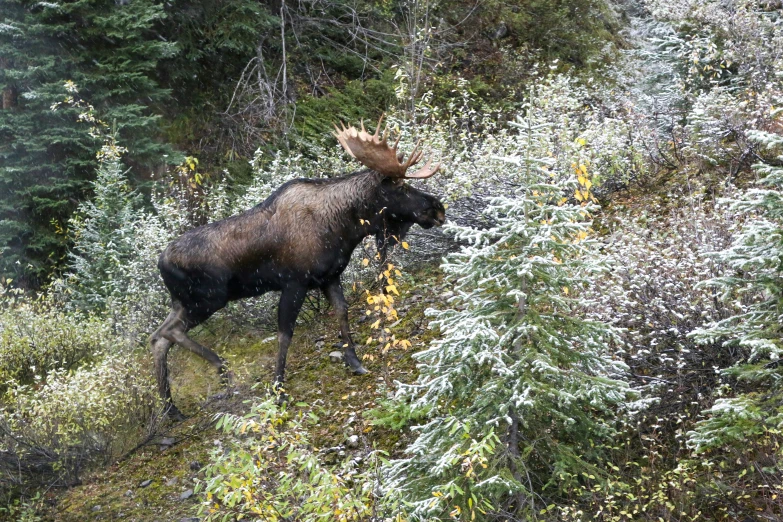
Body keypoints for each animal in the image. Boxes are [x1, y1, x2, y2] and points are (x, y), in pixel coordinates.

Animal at [152, 116, 448, 416]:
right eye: (400, 187)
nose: (438, 208)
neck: (345, 227)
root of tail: (160, 263)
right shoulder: (295, 282)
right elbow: (285, 334)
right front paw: (278, 389)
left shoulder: (329, 277)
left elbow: (342, 312)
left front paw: (354, 362)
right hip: (208, 299)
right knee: (168, 333)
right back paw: (222, 370)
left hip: (184, 302)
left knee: (158, 339)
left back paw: (170, 409)